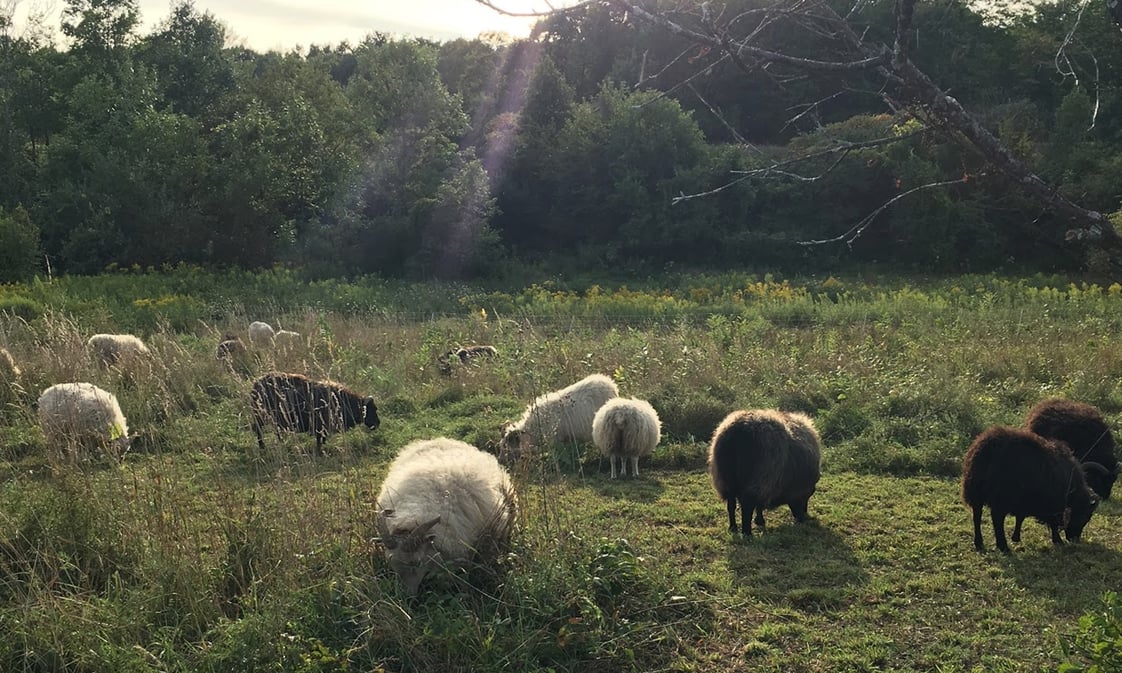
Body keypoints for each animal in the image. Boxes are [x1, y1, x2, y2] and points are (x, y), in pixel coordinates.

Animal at [251, 372, 381, 453]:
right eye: (372, 409)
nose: (378, 423)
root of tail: (255, 384)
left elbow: (322, 439)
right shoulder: (320, 426)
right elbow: (319, 440)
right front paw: (320, 451)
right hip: (260, 417)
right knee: (259, 432)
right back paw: (263, 447)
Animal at [709, 408, 825, 538]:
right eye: (806, 496)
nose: (802, 518)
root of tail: (738, 430)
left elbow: (758, 504)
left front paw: (759, 520)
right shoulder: (768, 482)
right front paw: (759, 521)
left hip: (725, 480)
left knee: (731, 505)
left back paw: (733, 528)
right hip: (758, 478)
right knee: (746, 507)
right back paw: (747, 533)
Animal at [960, 426, 1099, 551]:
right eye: (1085, 516)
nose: (1074, 539)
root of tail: (985, 449)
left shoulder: (1024, 501)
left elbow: (1020, 517)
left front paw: (1016, 537)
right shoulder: (1053, 504)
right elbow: (1053, 523)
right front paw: (1058, 540)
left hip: (975, 492)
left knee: (977, 516)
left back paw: (979, 543)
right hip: (1000, 497)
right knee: (997, 519)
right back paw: (1003, 546)